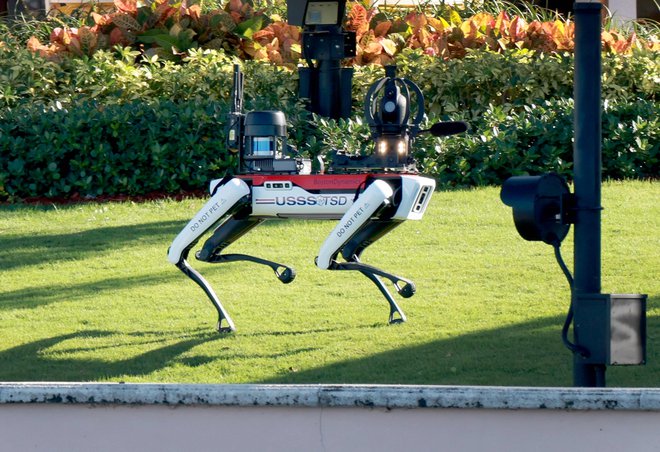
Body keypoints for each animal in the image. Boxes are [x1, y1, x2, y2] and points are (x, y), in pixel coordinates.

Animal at [166, 64, 464, 332]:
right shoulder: (379, 192)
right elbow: (328, 260)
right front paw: (403, 287)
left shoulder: (383, 209)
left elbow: (346, 254)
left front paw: (397, 304)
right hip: (237, 195)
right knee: (184, 253)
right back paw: (230, 314)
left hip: (244, 212)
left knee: (206, 252)